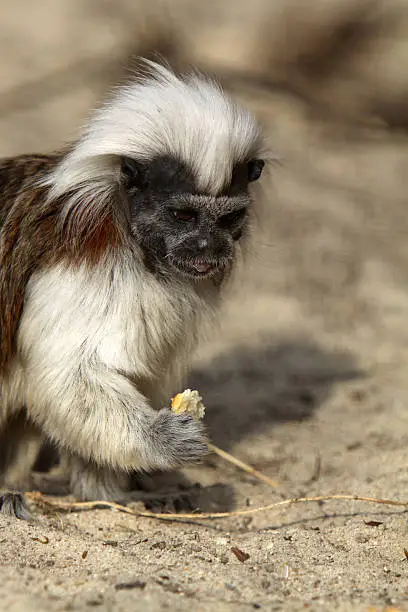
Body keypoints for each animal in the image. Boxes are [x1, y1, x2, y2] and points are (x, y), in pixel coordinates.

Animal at [0, 59, 268, 520]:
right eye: (182, 215)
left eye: (227, 219)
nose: (207, 247)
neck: (132, 234)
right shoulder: (83, 262)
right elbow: (67, 374)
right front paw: (161, 441)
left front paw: (112, 493)